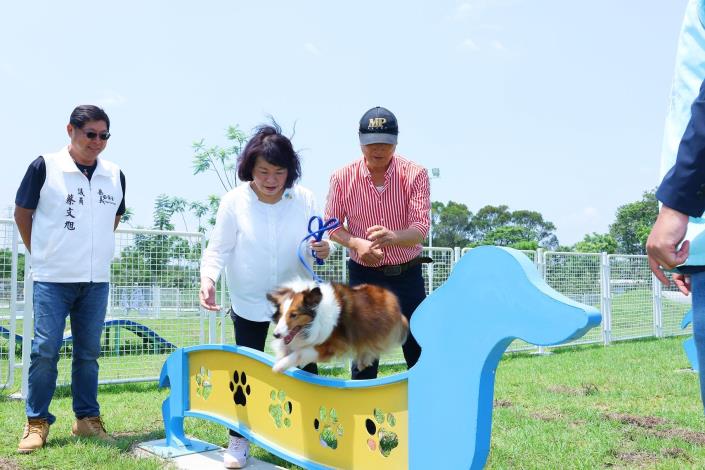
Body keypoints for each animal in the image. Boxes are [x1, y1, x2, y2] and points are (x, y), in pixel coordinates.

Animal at [264, 280, 408, 374]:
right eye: (281, 314)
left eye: (294, 315)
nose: (276, 334)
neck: (317, 315)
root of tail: (389, 295)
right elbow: (284, 347)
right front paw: (281, 356)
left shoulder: (328, 346)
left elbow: (299, 353)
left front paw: (279, 366)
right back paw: (363, 361)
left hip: (375, 331)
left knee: (374, 345)